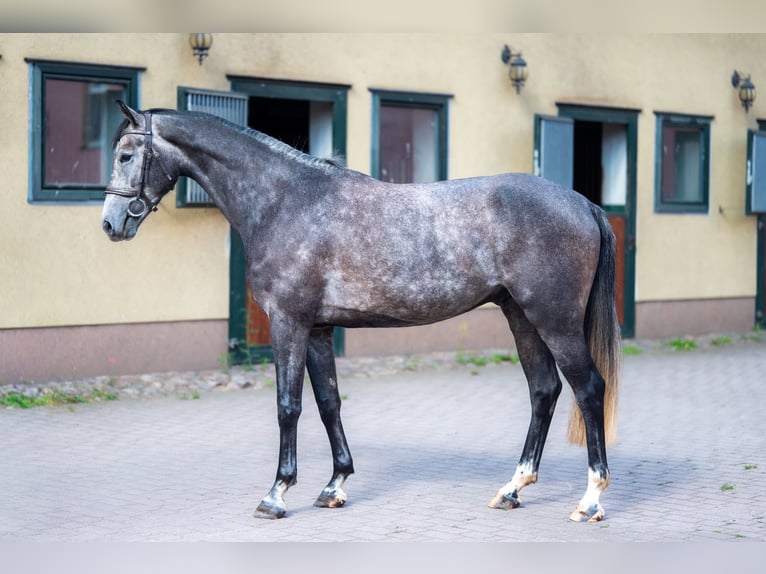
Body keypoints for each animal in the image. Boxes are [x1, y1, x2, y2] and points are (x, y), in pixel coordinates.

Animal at [102, 101, 620, 523]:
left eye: (126, 155)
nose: (111, 224)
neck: (284, 201)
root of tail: (583, 204)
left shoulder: (288, 323)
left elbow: (288, 405)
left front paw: (276, 494)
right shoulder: (317, 329)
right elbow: (328, 402)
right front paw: (334, 486)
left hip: (555, 321)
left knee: (588, 389)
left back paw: (590, 500)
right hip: (521, 317)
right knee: (544, 390)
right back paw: (512, 490)